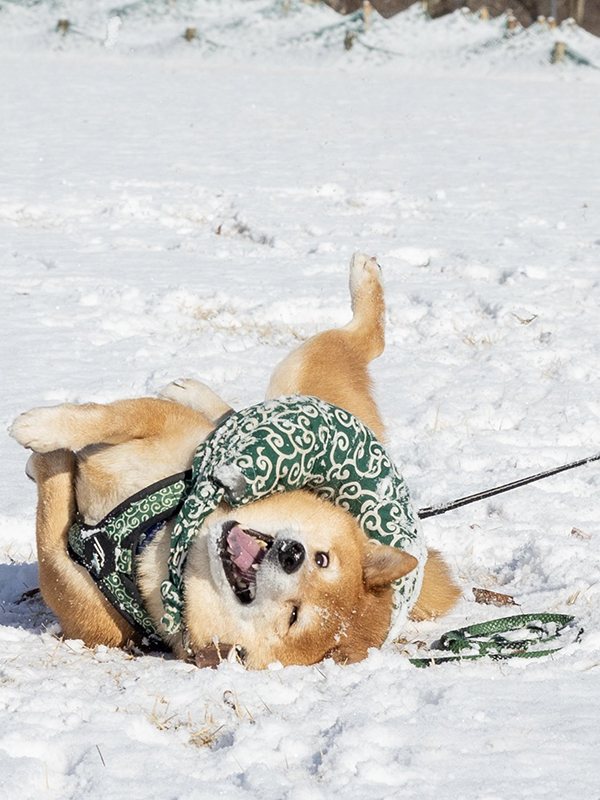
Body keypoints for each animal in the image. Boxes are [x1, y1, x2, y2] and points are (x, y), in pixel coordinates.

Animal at [8, 253, 460, 664]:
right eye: (323, 559)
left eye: (293, 617)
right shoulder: (170, 428)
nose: (291, 554)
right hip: (297, 379)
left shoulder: (80, 599)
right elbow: (108, 417)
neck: (161, 542)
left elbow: (50, 518)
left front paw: (46, 454)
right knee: (352, 345)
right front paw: (44, 429)